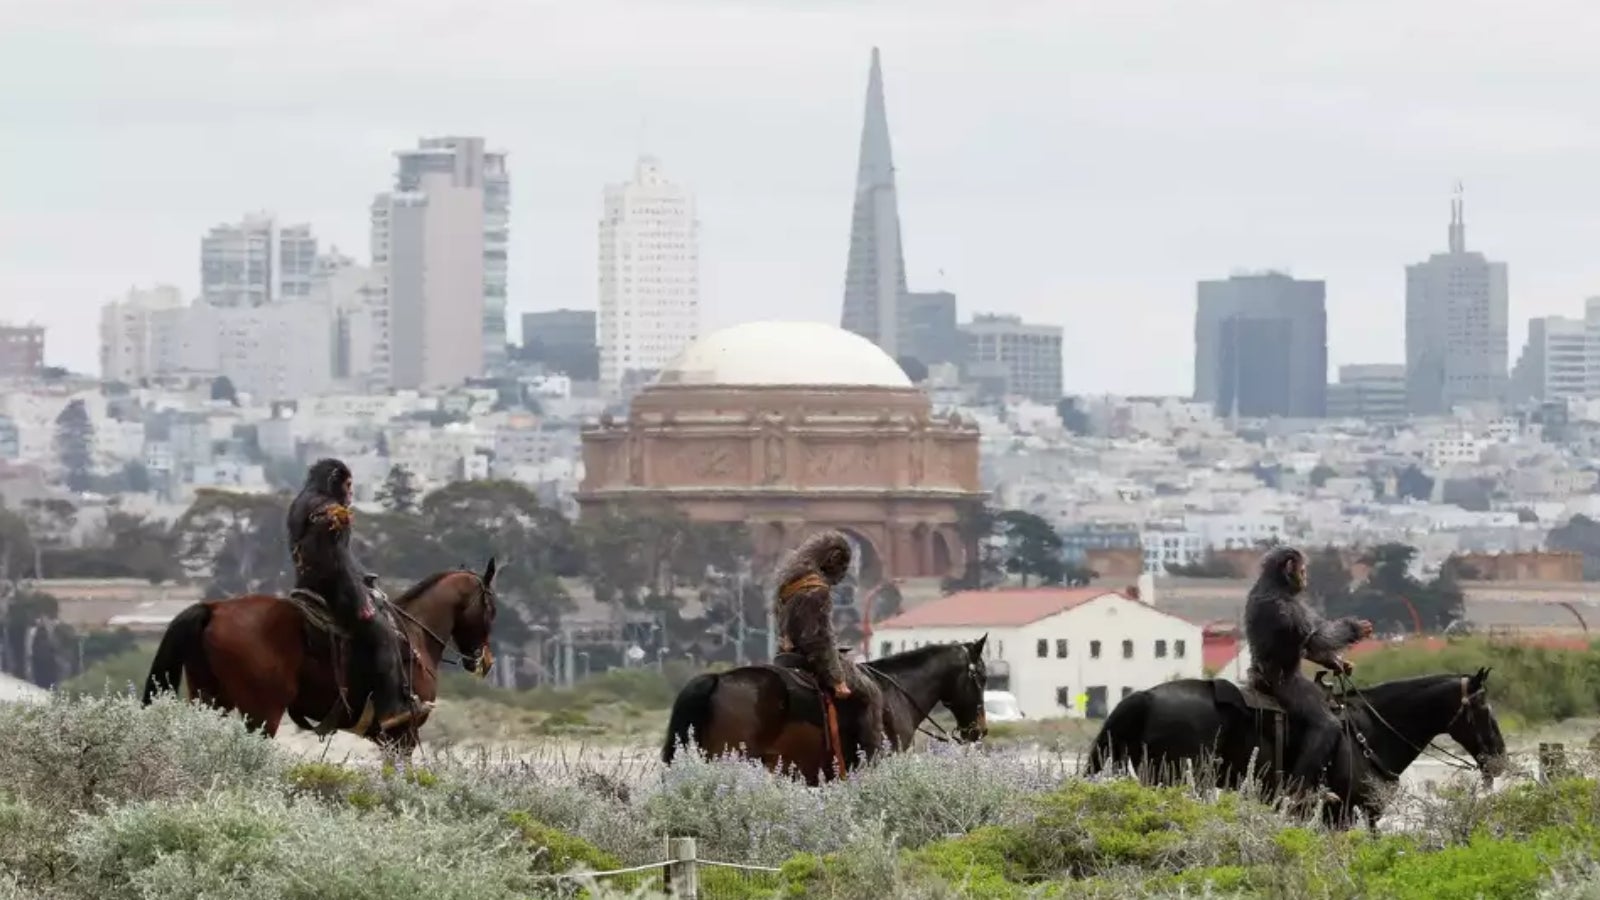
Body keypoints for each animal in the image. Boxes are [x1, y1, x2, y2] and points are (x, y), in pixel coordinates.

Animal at [142, 557, 499, 752]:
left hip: (210, 701)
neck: (414, 635)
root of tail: (213, 609)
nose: (485, 661)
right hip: (261, 714)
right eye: (491, 609)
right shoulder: (403, 736)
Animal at [1081, 666, 1504, 826]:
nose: (1499, 758)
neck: (1370, 732)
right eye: (1483, 708)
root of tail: (1146, 697)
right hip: (1171, 780)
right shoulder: (1346, 814)